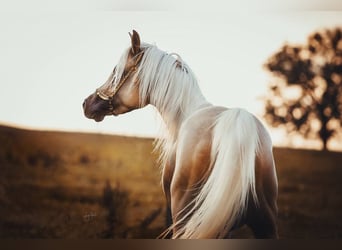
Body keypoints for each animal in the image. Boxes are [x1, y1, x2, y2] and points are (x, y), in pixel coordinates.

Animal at [83, 30, 278, 239]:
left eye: (115, 71)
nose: (86, 104)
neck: (183, 115)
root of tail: (239, 125)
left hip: (184, 217)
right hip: (265, 226)